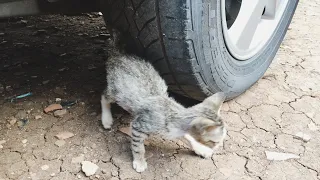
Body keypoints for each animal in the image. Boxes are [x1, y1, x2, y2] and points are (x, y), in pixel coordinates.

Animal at [101, 33, 226, 172]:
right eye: (214, 142)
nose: (218, 148)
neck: (173, 114)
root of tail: (119, 55)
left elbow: (188, 138)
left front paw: (201, 149)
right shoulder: (138, 126)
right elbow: (138, 147)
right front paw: (139, 161)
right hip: (116, 92)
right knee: (104, 97)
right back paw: (106, 119)